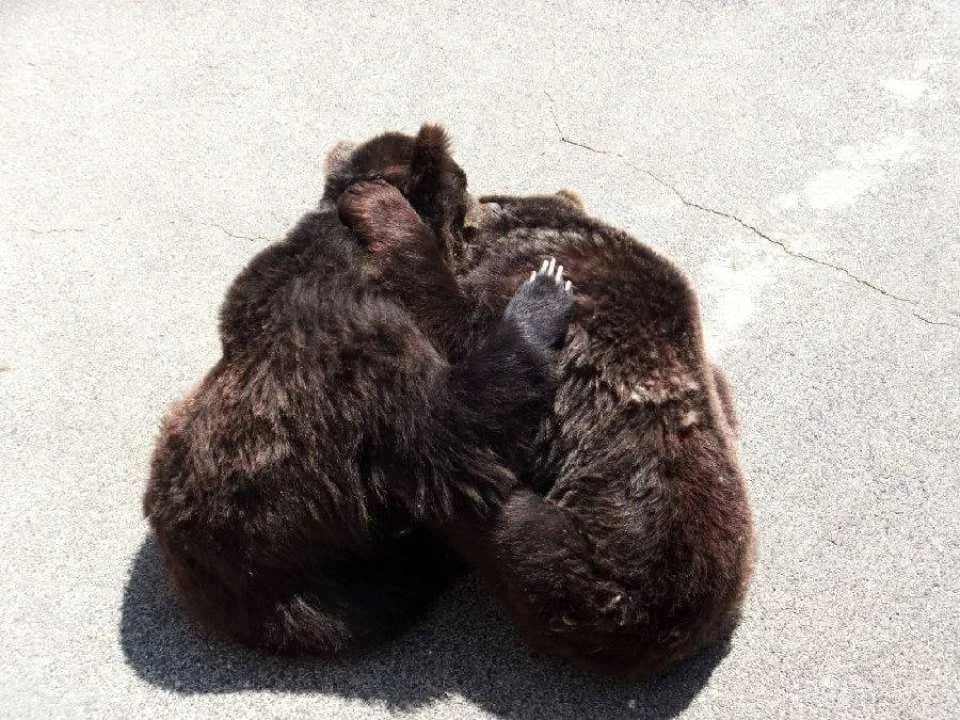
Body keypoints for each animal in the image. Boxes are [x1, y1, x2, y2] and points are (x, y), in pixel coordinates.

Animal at [143, 125, 574, 657]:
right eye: (464, 181)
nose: (486, 208)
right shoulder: (363, 345)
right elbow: (447, 426)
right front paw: (542, 296)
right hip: (313, 586)